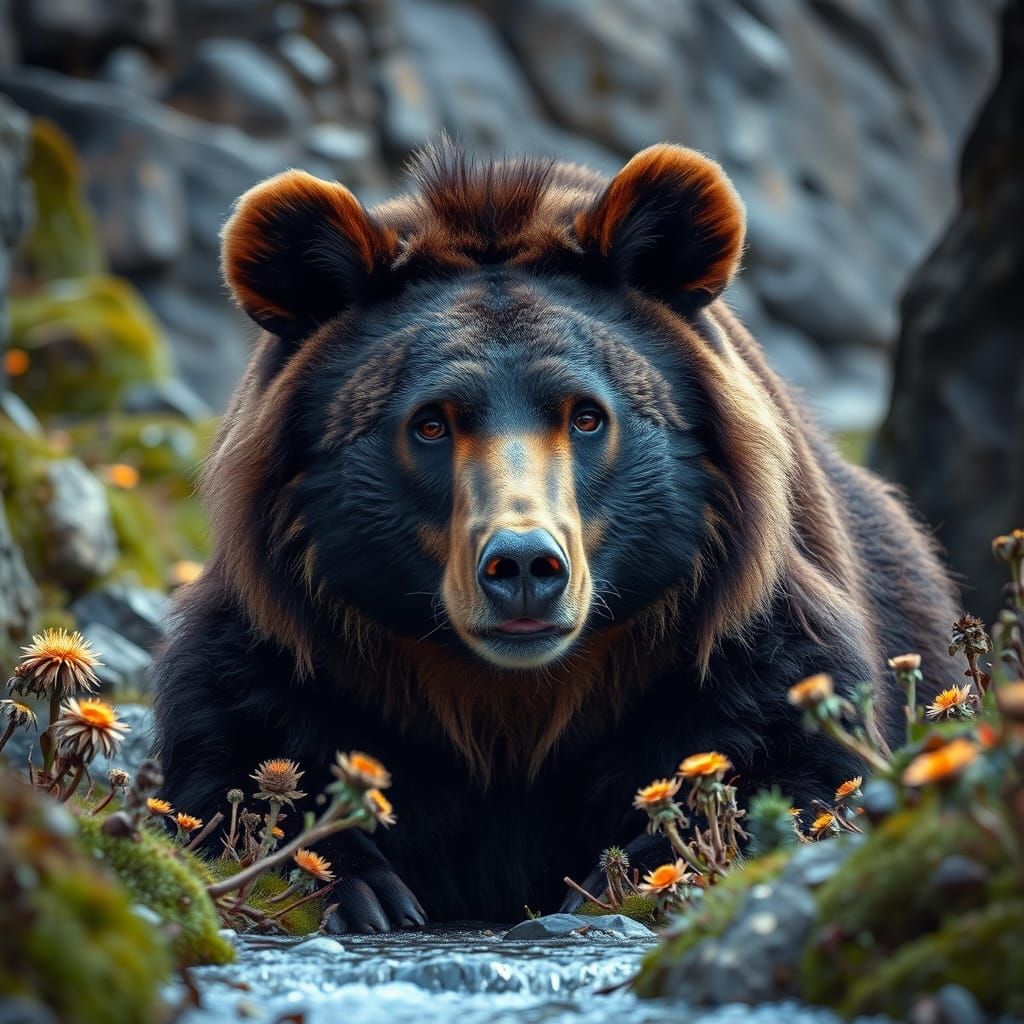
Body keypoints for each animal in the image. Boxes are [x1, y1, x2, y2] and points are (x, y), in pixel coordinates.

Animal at [152, 141, 961, 932]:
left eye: (587, 415)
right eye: (431, 422)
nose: (523, 566)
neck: (512, 699)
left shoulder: (734, 643)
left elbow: (793, 762)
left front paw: (618, 877)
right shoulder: (292, 652)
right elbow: (234, 759)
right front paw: (359, 887)